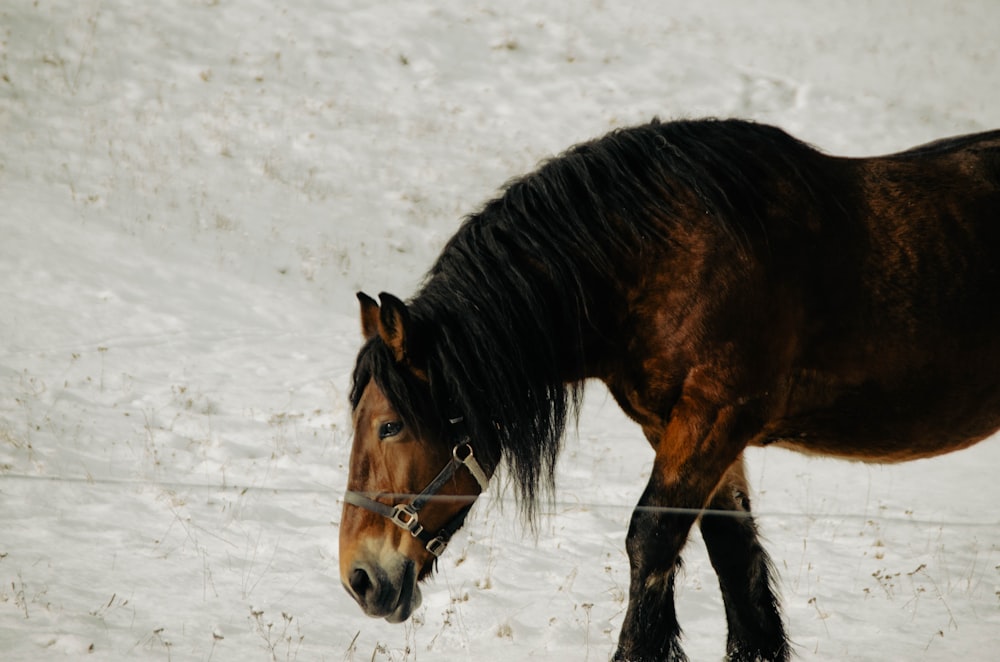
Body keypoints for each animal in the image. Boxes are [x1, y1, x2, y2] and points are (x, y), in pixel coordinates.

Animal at [338, 120, 1000, 662]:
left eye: (391, 424)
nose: (359, 577)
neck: (669, 255)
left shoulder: (717, 415)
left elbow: (651, 539)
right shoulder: (683, 429)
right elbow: (733, 555)